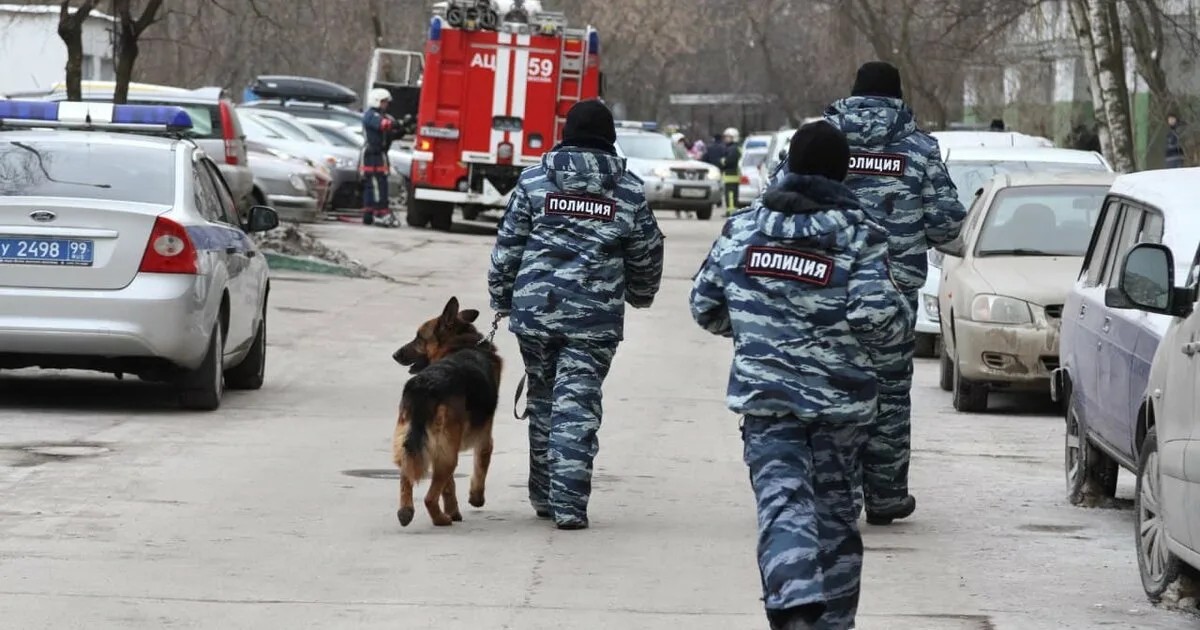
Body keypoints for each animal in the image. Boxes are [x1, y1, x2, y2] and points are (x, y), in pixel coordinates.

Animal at [391, 295, 499, 525]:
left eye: (418, 337)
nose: (394, 354)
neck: (460, 344)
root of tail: (425, 386)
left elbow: (449, 486)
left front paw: (453, 509)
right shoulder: (484, 440)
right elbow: (480, 468)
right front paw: (475, 499)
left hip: (411, 445)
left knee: (408, 478)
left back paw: (406, 512)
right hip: (448, 454)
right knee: (429, 498)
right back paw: (441, 519)